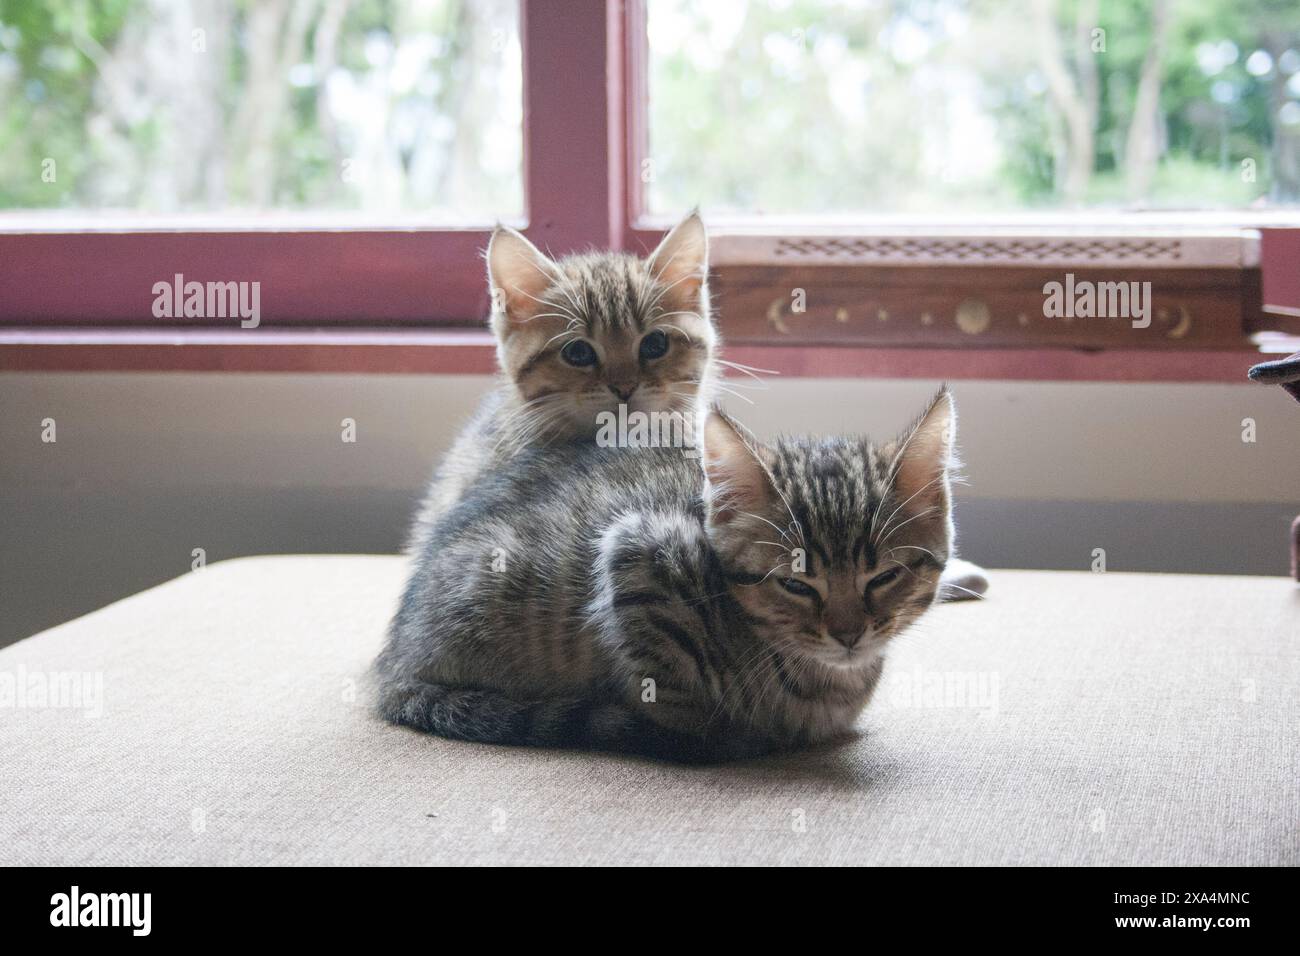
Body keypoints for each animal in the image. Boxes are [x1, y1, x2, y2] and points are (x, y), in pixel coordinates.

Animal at [377, 390, 956, 764]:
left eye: (884, 576)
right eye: (795, 584)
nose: (848, 634)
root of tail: (393, 660)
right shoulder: (640, 558)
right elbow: (673, 699)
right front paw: (725, 735)